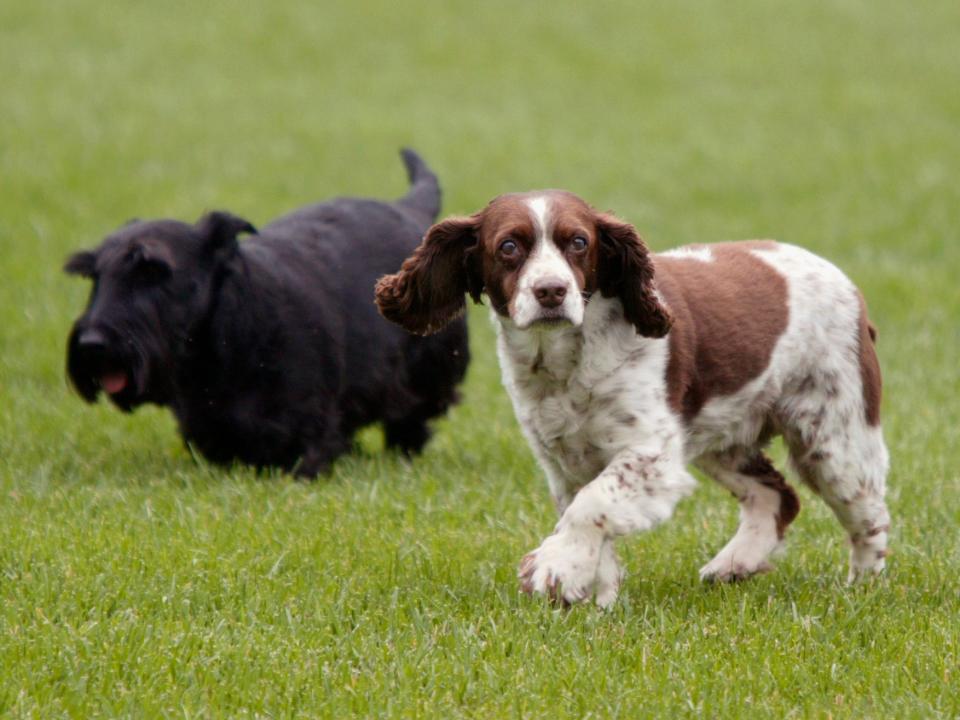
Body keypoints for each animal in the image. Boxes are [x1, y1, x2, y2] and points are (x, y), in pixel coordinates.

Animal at [376, 191, 892, 608]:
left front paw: (552, 568)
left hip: (833, 437)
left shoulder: (650, 453)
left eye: (578, 242)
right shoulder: (564, 462)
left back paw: (861, 588)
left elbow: (591, 505)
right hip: (724, 436)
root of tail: (848, 283)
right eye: (508, 247)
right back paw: (735, 564)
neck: (563, 362)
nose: (551, 291)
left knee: (868, 513)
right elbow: (589, 516)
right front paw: (592, 594)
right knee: (777, 495)